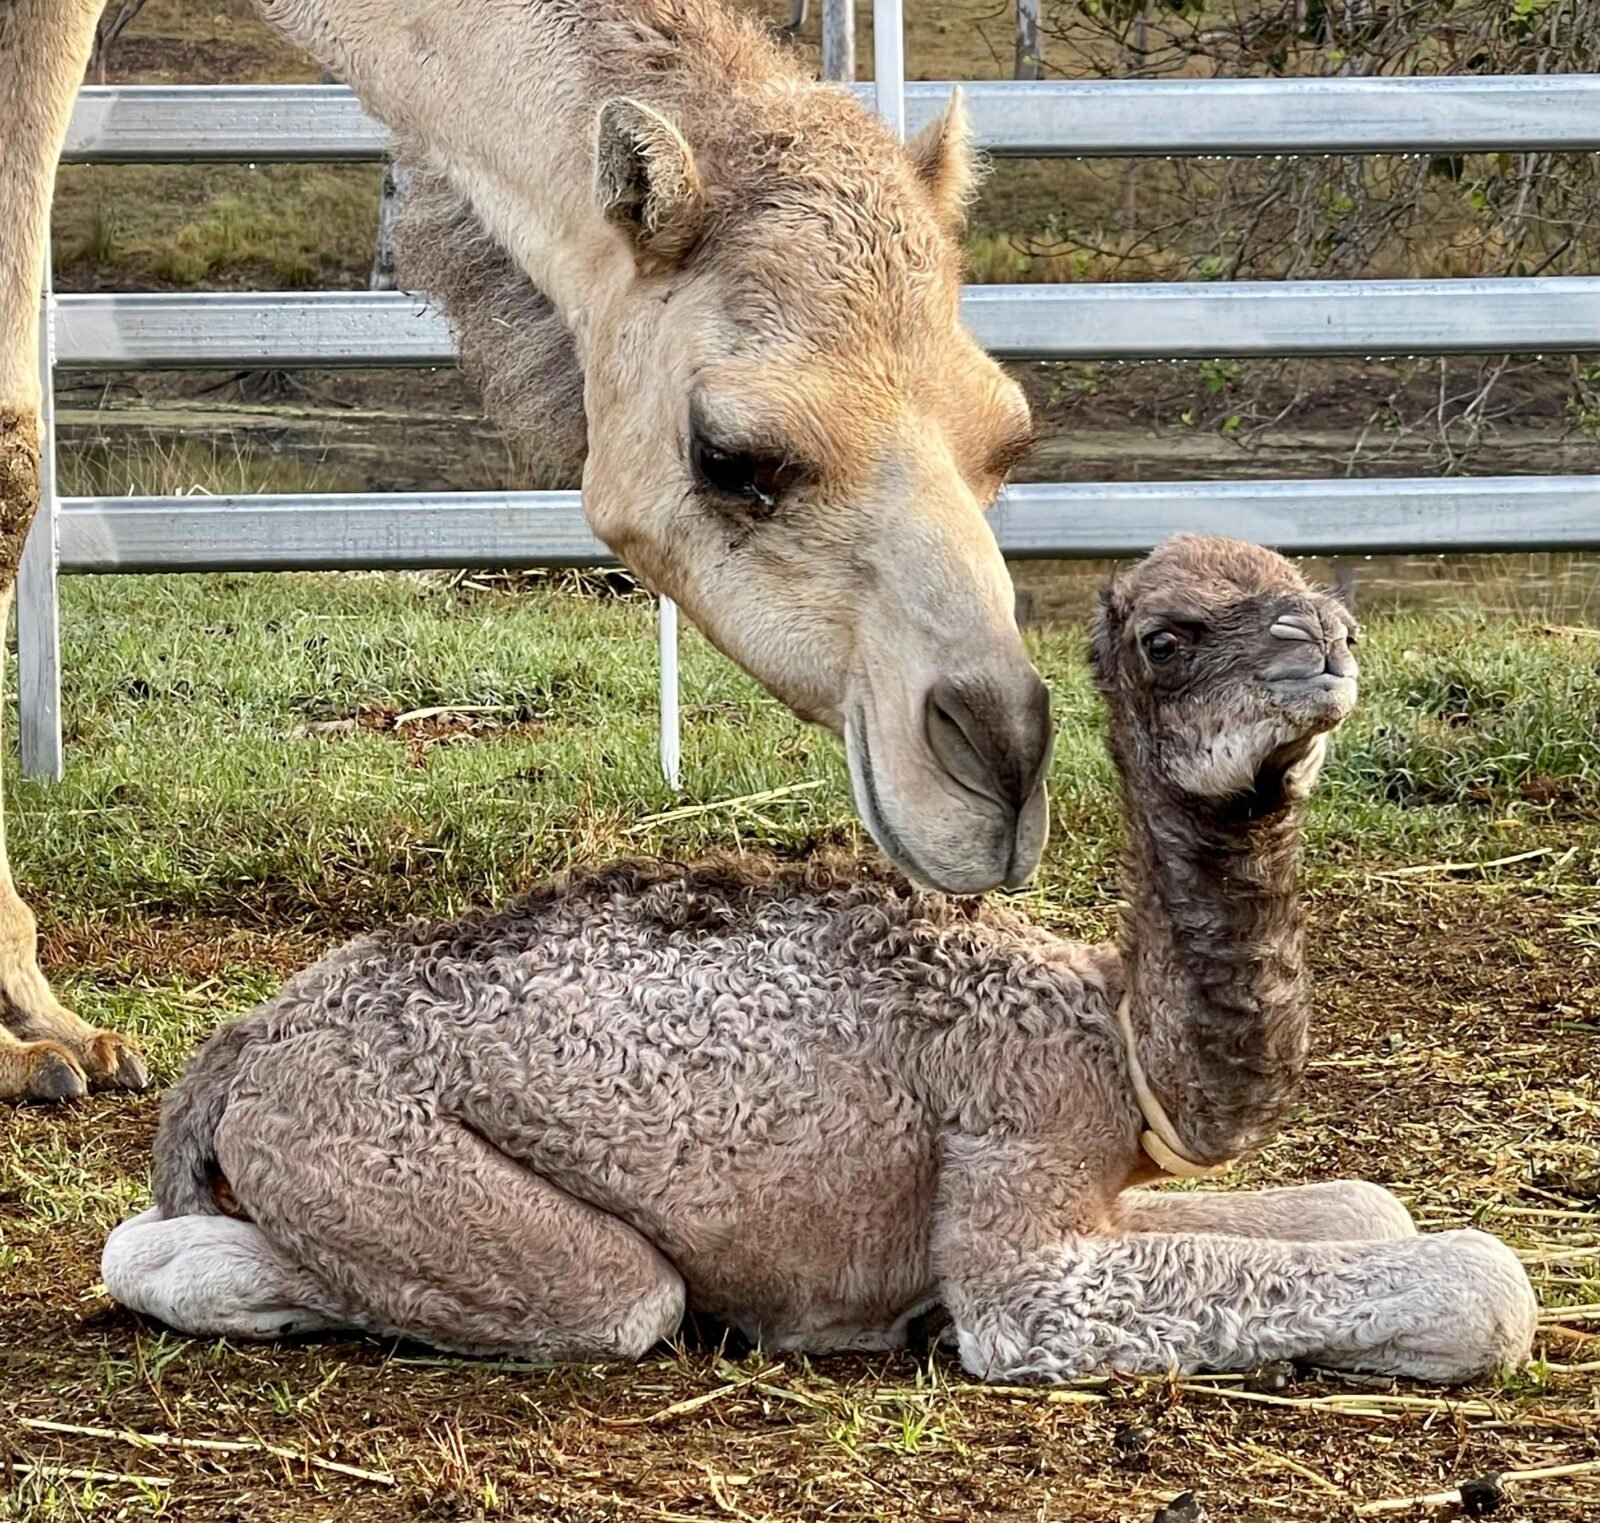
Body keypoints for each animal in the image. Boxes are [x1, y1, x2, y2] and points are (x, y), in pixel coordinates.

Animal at [102, 537, 1536, 1383]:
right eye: (1167, 638)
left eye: (1327, 599)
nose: (1326, 648)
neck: (1114, 1041)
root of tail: (243, 1049)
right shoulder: (1018, 1185)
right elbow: (1484, 1278)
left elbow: (1366, 1203)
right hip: (366, 1148)